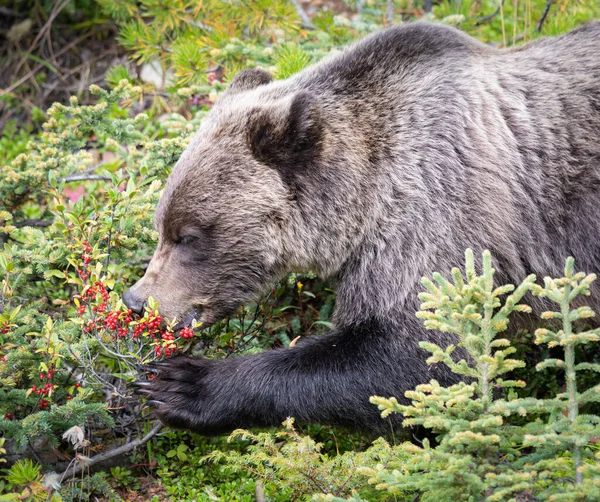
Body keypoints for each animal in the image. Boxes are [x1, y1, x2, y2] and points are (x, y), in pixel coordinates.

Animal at [122, 20, 600, 436]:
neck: (364, 196)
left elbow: (419, 356)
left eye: (188, 236)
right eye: (161, 226)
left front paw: (183, 384)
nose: (136, 301)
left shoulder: (439, 214)